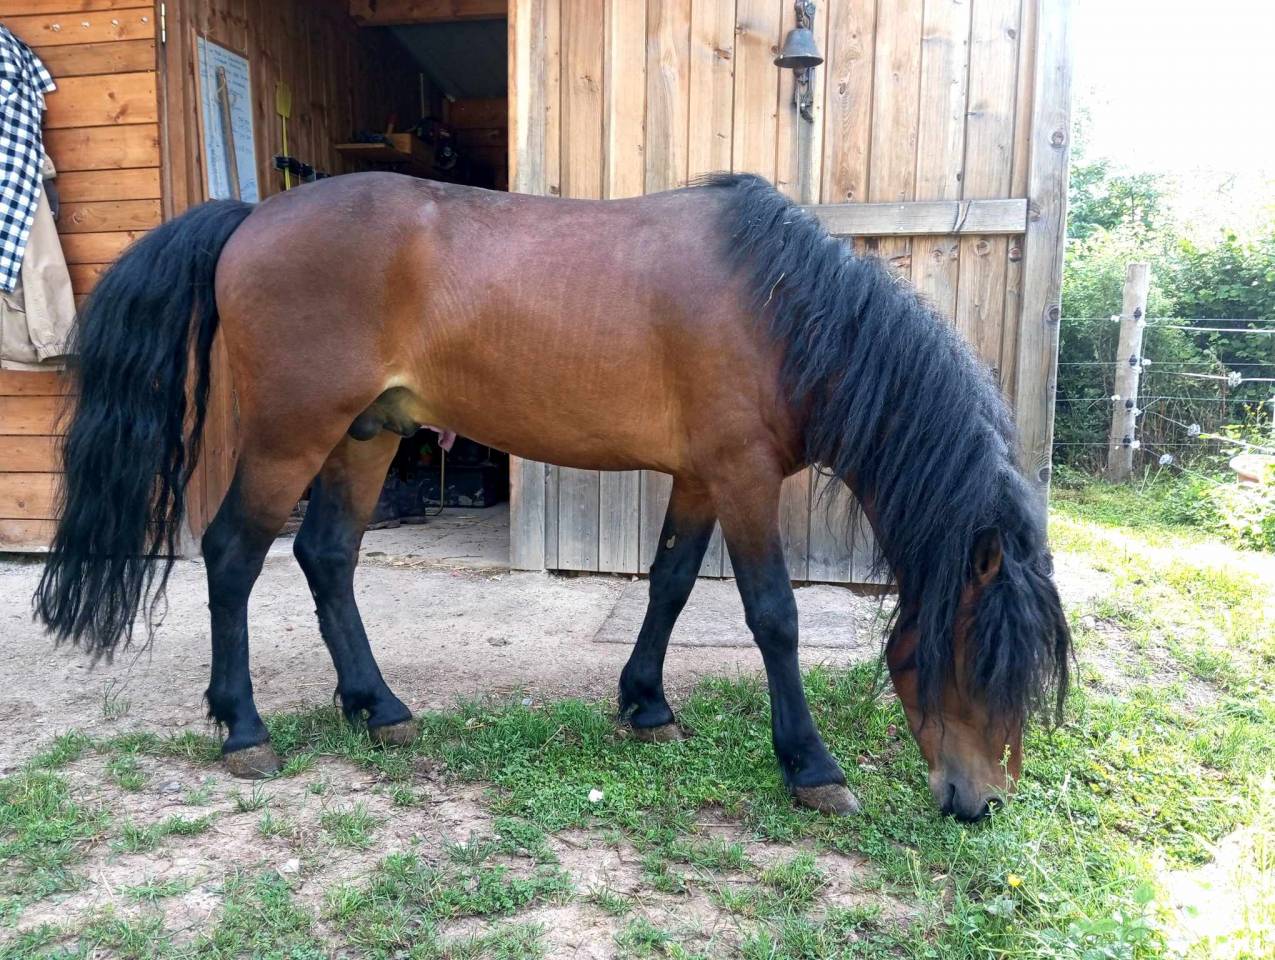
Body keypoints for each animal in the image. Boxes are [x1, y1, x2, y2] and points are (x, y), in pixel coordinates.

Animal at [34, 172, 1070, 823]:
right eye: (972, 658)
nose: (978, 804)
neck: (785, 313)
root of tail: (251, 215)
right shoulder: (740, 477)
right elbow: (772, 616)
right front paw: (810, 766)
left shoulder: (700, 476)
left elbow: (668, 586)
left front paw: (644, 706)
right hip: (293, 434)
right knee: (233, 556)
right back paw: (243, 729)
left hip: (367, 436)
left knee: (325, 557)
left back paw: (378, 707)